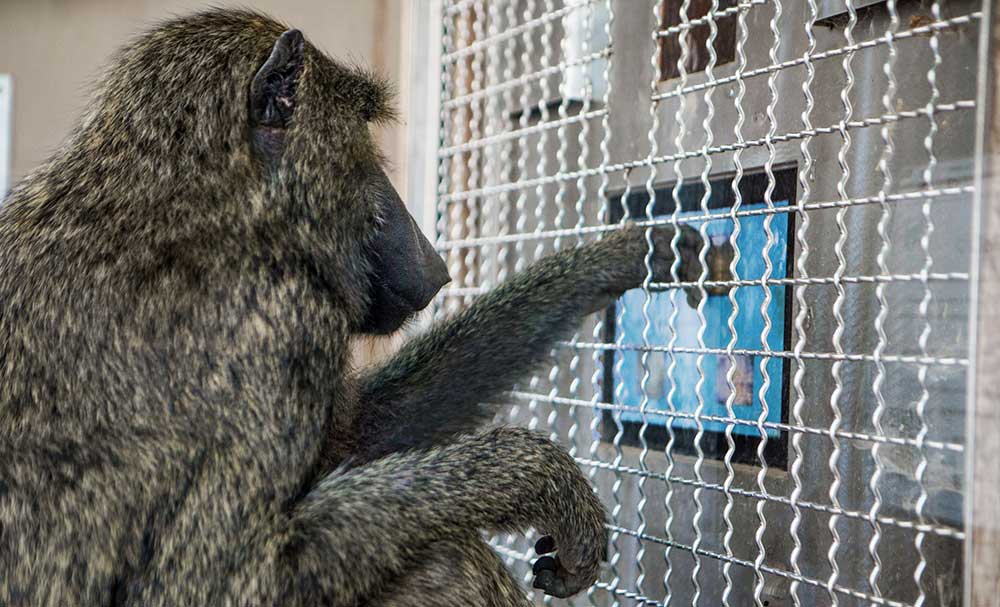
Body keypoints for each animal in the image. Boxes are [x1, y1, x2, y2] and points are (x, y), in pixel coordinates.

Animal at [0, 9, 717, 607]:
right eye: (364, 139)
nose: (432, 258)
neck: (194, 197)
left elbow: (363, 436)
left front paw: (630, 255)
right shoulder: (277, 320)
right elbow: (212, 586)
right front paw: (535, 477)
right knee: (442, 557)